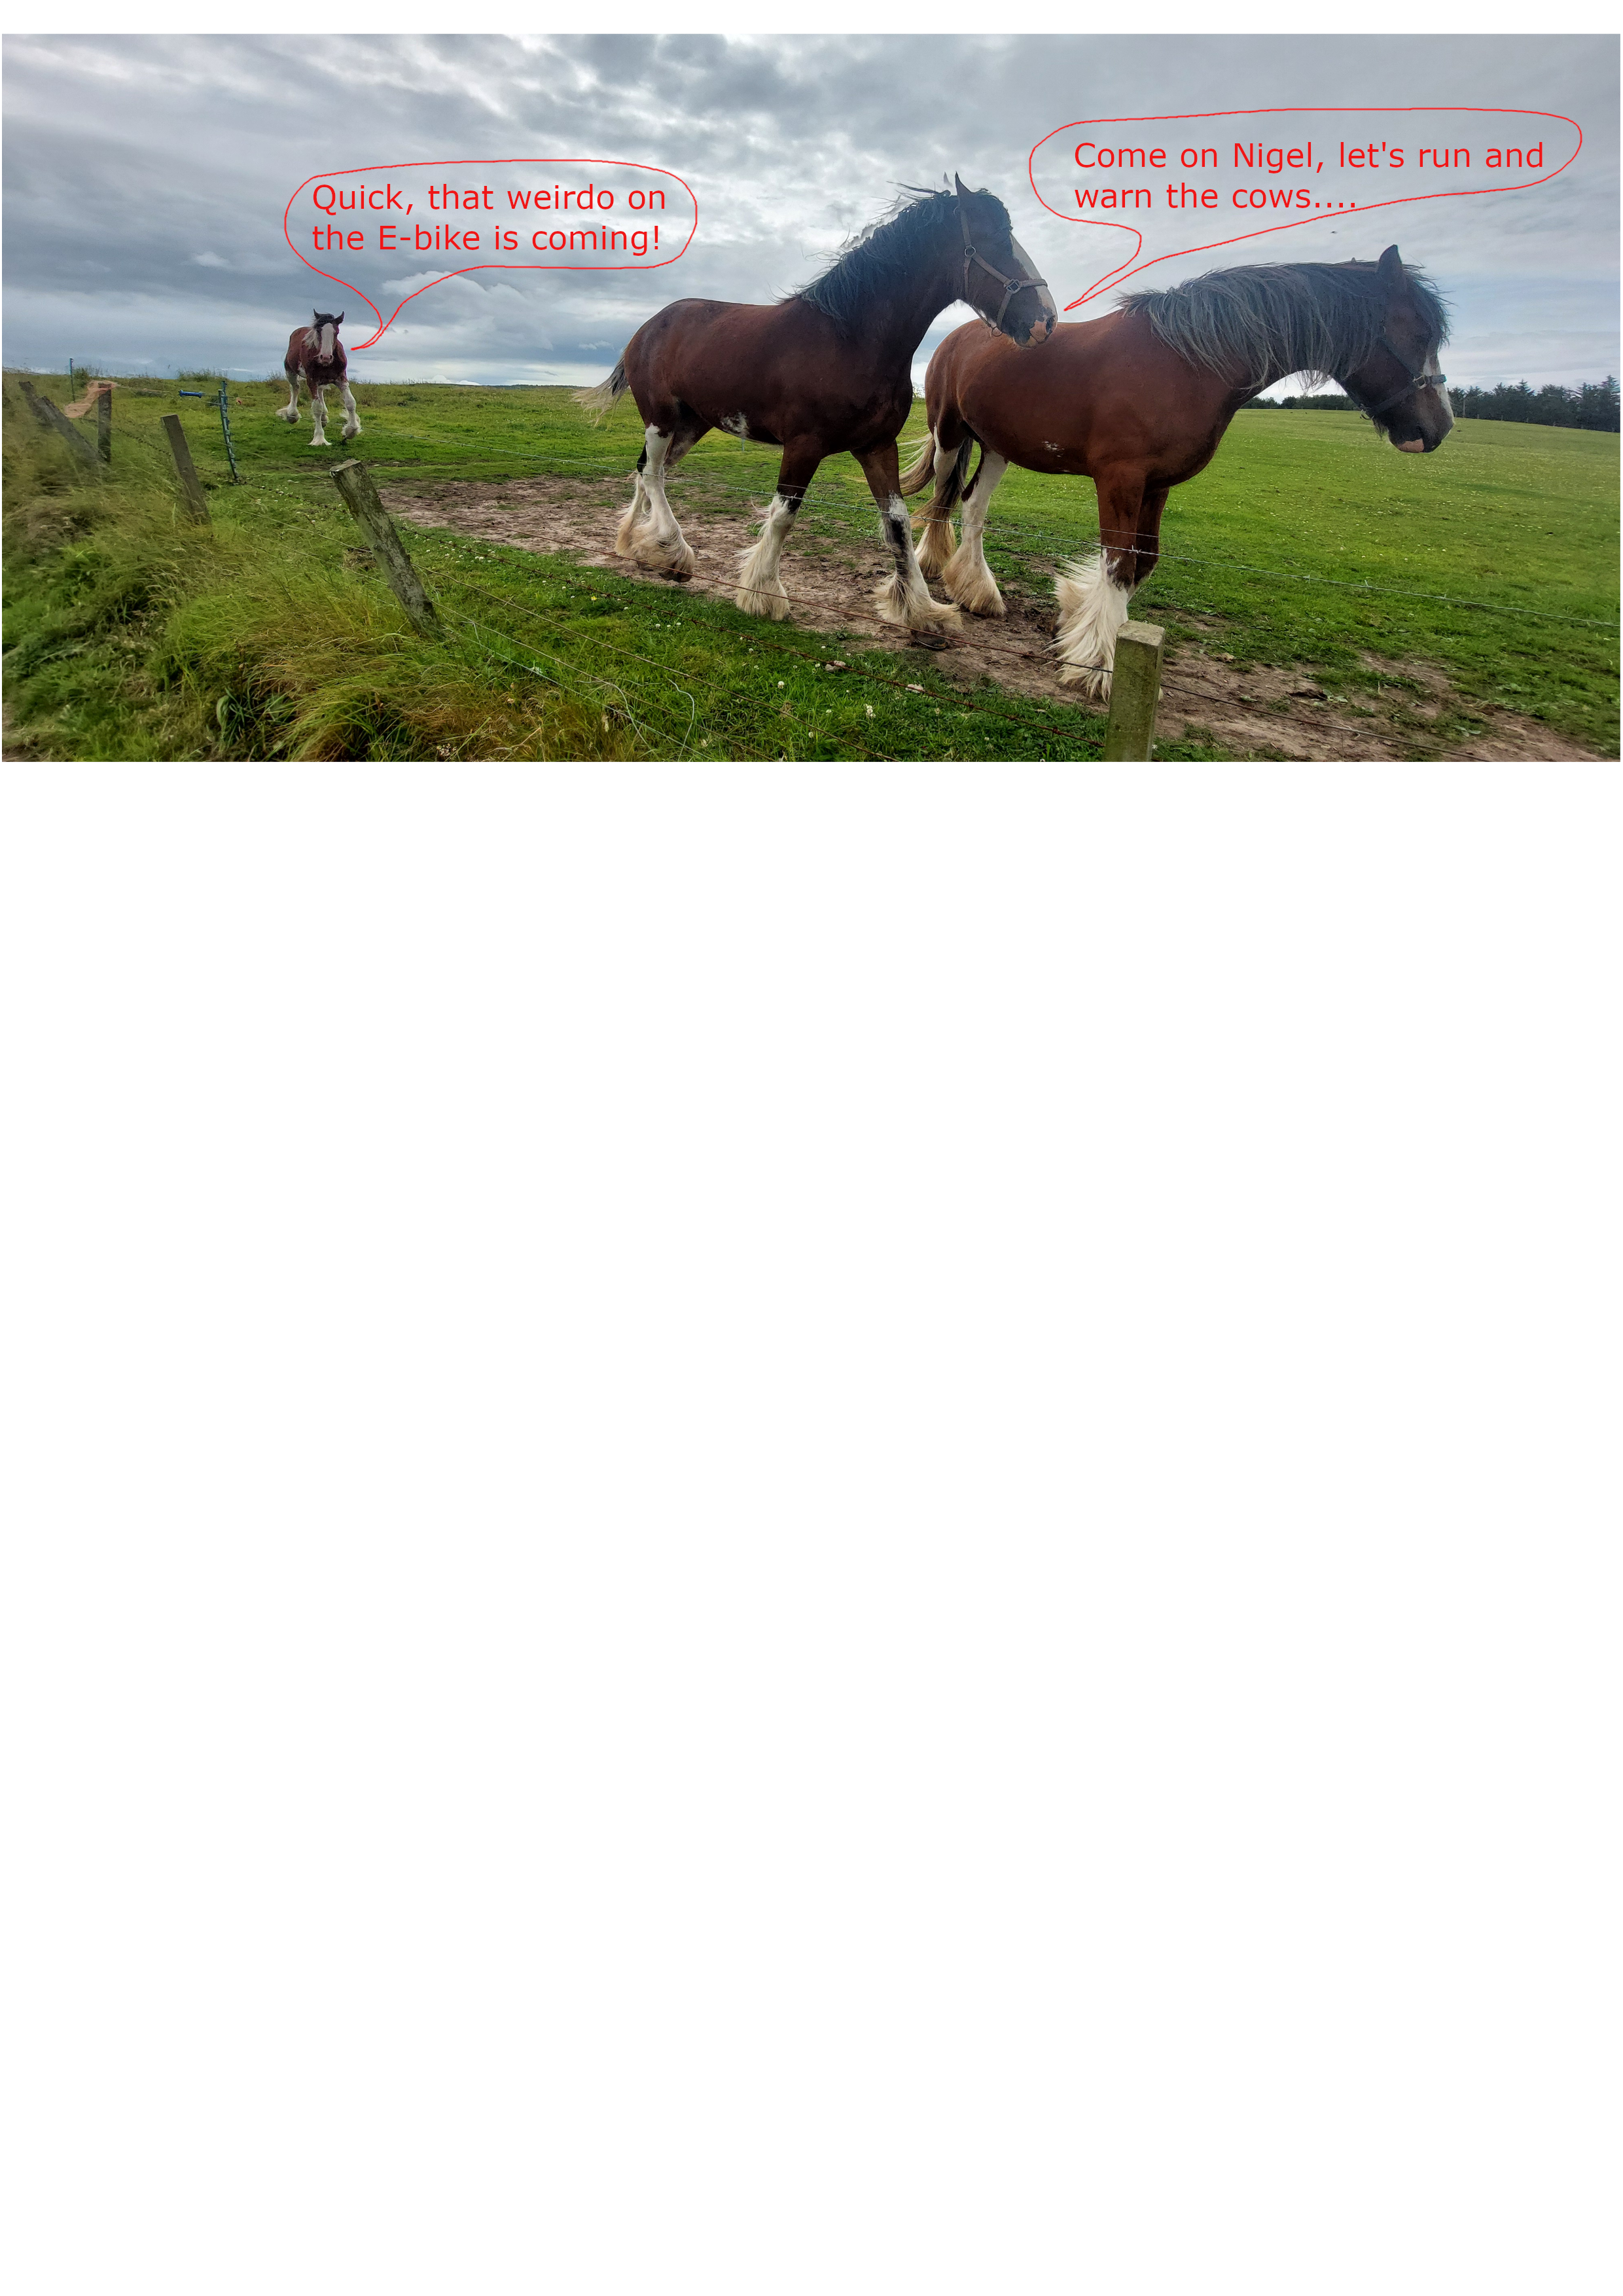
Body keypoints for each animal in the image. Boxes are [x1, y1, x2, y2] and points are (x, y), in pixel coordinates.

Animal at [276, 311, 361, 448]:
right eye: (319, 332)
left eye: (336, 332)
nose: (325, 357)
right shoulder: (312, 380)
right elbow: (317, 408)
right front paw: (319, 439)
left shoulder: (341, 378)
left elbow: (350, 403)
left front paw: (350, 431)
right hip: (290, 371)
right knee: (295, 388)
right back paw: (292, 415)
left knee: (320, 391)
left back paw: (324, 418)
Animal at [574, 177, 1056, 635]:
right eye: (996, 238)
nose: (1046, 321)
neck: (851, 339)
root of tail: (648, 327)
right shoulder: (804, 445)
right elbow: (784, 514)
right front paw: (763, 594)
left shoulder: (877, 446)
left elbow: (897, 523)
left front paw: (922, 611)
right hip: (661, 418)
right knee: (653, 474)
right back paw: (673, 551)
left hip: (691, 425)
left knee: (647, 472)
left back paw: (638, 544)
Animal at [900, 244, 1452, 695]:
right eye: (1420, 332)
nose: (1439, 427)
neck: (1185, 363)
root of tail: (961, 334)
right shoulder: (1120, 479)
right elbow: (1120, 564)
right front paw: (1097, 664)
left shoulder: (1157, 485)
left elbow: (1144, 561)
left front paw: (1078, 621)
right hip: (950, 435)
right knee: (944, 500)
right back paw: (935, 570)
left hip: (998, 447)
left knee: (974, 507)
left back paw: (979, 592)